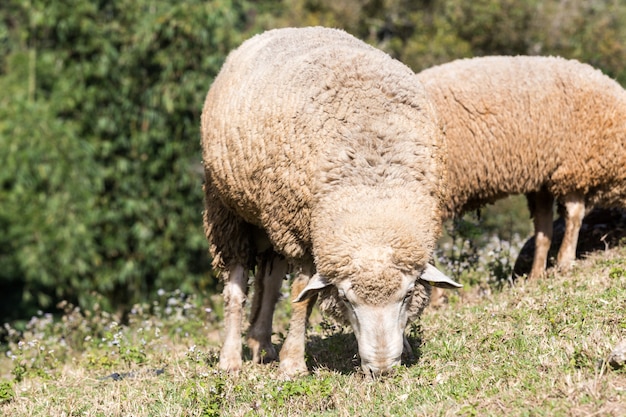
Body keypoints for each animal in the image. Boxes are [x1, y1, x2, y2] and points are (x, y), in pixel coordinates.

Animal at [200, 26, 458, 376]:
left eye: (406, 296)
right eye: (347, 300)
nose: (381, 369)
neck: (371, 190)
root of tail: (278, 31)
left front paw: (404, 344)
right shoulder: (300, 234)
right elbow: (302, 296)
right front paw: (293, 364)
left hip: (273, 215)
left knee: (269, 281)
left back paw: (261, 343)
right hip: (229, 211)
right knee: (235, 288)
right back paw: (230, 359)